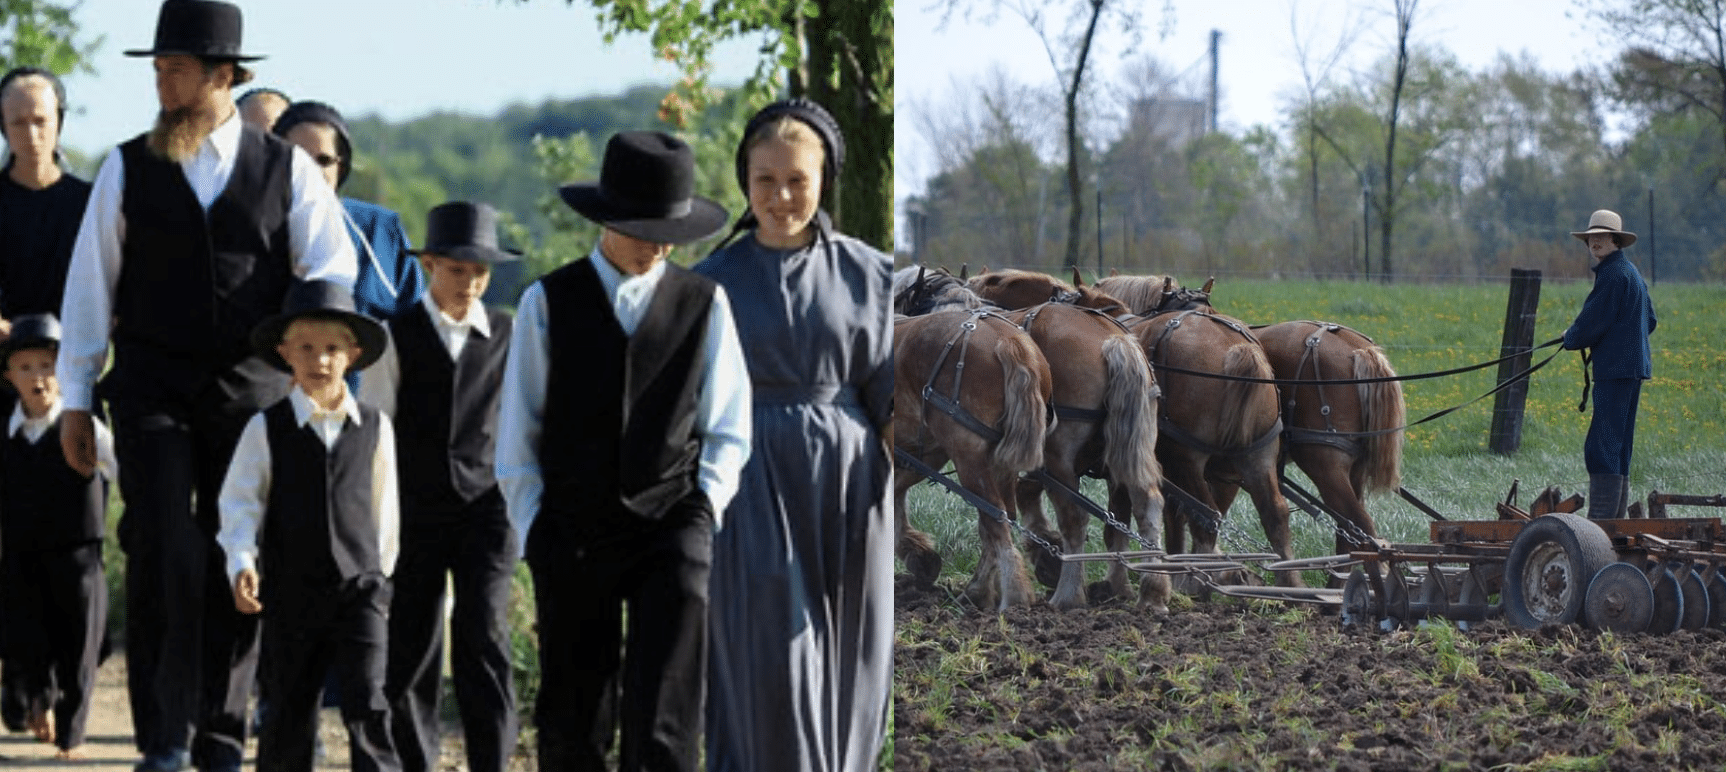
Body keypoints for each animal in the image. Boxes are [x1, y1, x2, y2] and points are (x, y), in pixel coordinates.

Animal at [897, 307, 1056, 611]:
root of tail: (1009, 341)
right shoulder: (926, 453)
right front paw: (919, 555)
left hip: (967, 453)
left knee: (996, 517)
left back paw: (1007, 594)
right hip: (999, 461)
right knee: (1000, 517)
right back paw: (984, 590)